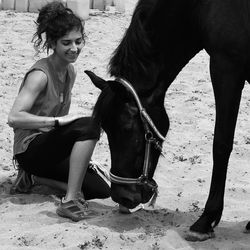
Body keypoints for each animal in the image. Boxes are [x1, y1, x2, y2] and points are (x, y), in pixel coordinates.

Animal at [85, 0, 250, 241]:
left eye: (125, 128)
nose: (120, 196)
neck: (202, 7)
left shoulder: (226, 67)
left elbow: (221, 144)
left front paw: (205, 220)